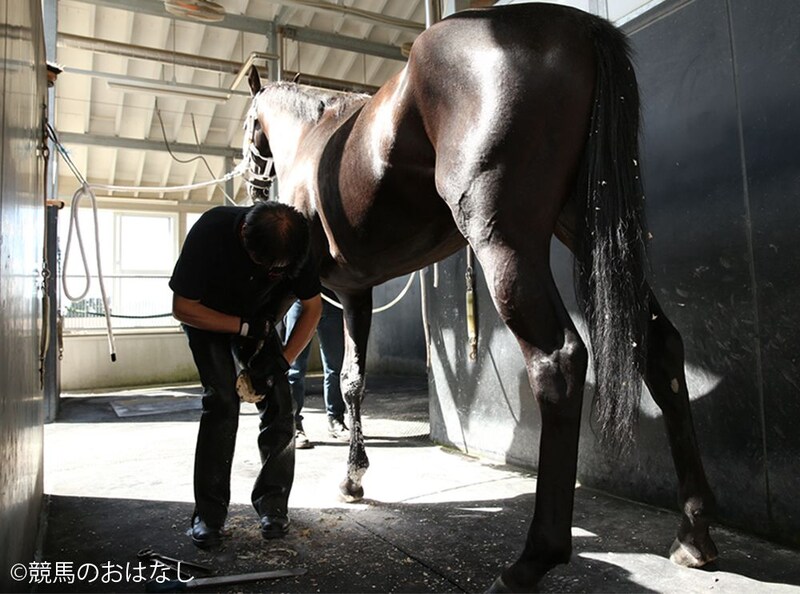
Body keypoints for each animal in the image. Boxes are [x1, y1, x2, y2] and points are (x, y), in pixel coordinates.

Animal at [242, 3, 718, 590]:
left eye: (249, 124)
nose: (251, 187)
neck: (317, 137)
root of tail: (578, 26)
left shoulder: (315, 288)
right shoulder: (356, 292)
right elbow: (354, 382)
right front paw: (352, 479)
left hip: (504, 240)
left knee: (559, 360)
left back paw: (530, 561)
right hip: (587, 229)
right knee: (660, 348)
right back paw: (693, 533)